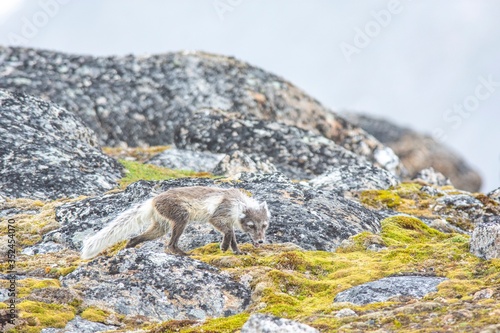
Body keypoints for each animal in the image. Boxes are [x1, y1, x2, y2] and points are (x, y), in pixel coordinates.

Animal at [82, 185, 270, 258]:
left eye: (264, 226)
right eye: (251, 226)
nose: (261, 241)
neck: (236, 204)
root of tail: (152, 200)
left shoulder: (229, 222)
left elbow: (234, 239)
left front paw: (237, 252)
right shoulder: (217, 217)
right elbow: (229, 234)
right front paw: (223, 247)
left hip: (160, 228)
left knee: (134, 238)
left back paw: (128, 249)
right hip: (181, 218)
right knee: (170, 245)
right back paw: (184, 254)